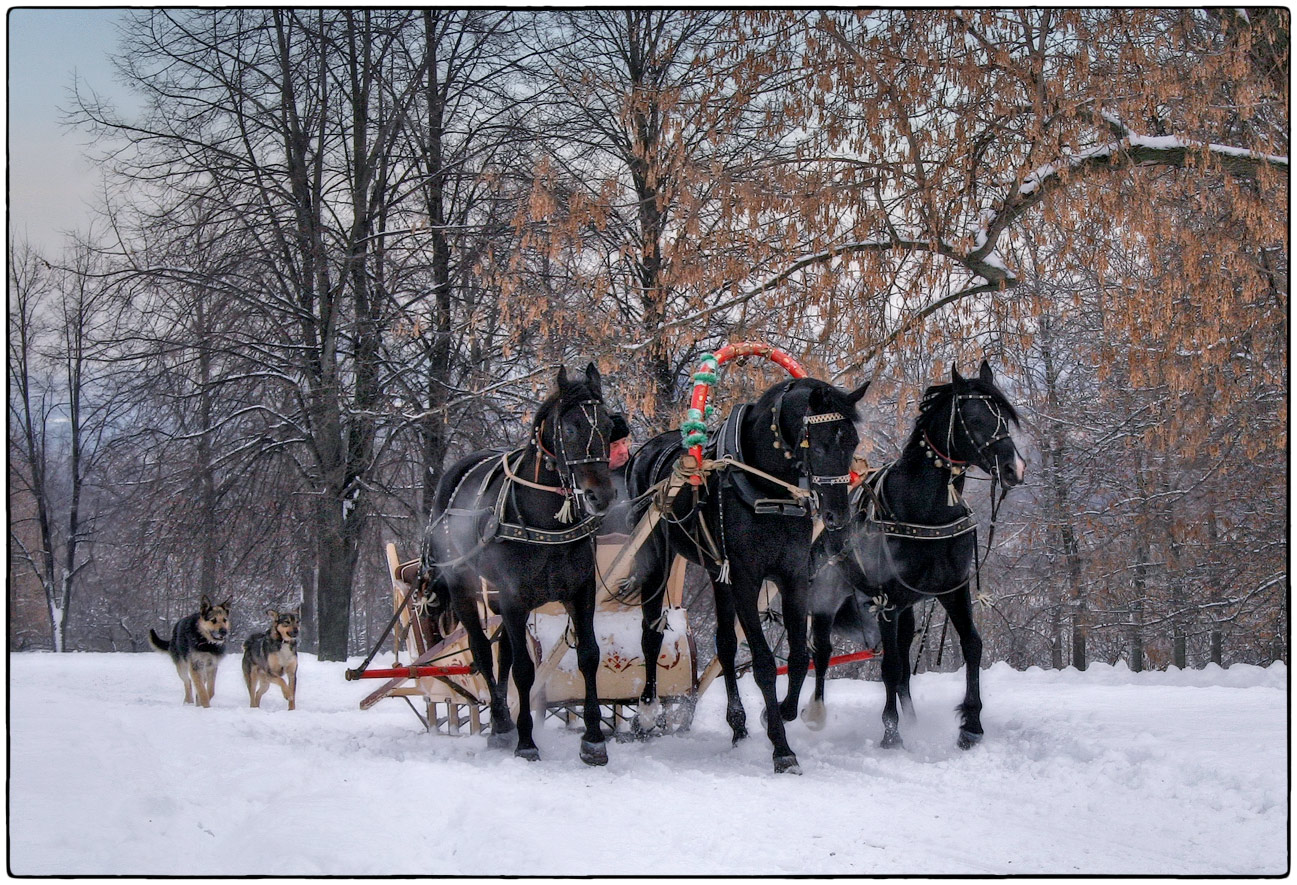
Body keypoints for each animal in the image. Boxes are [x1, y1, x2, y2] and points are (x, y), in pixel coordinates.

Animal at [417, 360, 614, 763]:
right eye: (570, 428)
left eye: (607, 425)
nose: (600, 496)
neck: (544, 522)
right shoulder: (513, 598)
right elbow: (523, 669)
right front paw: (525, 740)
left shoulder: (580, 592)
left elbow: (588, 655)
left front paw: (593, 739)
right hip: (465, 590)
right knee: (482, 651)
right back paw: (502, 724)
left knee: (503, 653)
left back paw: (501, 720)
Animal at [622, 373, 866, 773]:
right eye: (820, 443)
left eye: (853, 442)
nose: (837, 516)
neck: (768, 488)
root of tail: (646, 450)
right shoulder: (747, 579)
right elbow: (765, 663)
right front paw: (782, 749)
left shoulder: (792, 576)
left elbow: (798, 657)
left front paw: (778, 713)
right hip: (657, 556)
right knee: (651, 633)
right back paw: (646, 713)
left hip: (718, 573)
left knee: (724, 642)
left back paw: (737, 725)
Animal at [798, 360, 1022, 747]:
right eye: (974, 418)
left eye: (1003, 418)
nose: (1013, 468)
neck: (924, 510)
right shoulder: (886, 601)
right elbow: (888, 667)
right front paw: (891, 733)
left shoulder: (952, 591)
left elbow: (971, 645)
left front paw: (972, 724)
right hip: (827, 601)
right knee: (823, 654)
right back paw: (814, 713)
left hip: (906, 613)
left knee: (903, 664)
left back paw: (914, 720)